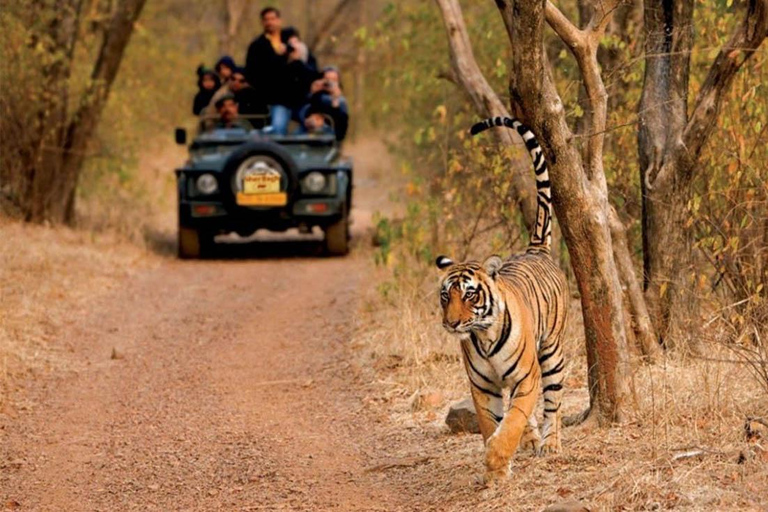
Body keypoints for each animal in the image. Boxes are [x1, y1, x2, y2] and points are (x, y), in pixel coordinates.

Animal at [436, 117, 568, 484]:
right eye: (445, 295)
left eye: (469, 293)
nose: (451, 323)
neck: (484, 336)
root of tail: (535, 249)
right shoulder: (483, 387)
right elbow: (490, 424)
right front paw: (496, 468)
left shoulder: (526, 377)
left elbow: (512, 421)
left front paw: (498, 459)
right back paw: (534, 439)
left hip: (551, 352)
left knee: (553, 402)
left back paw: (550, 443)